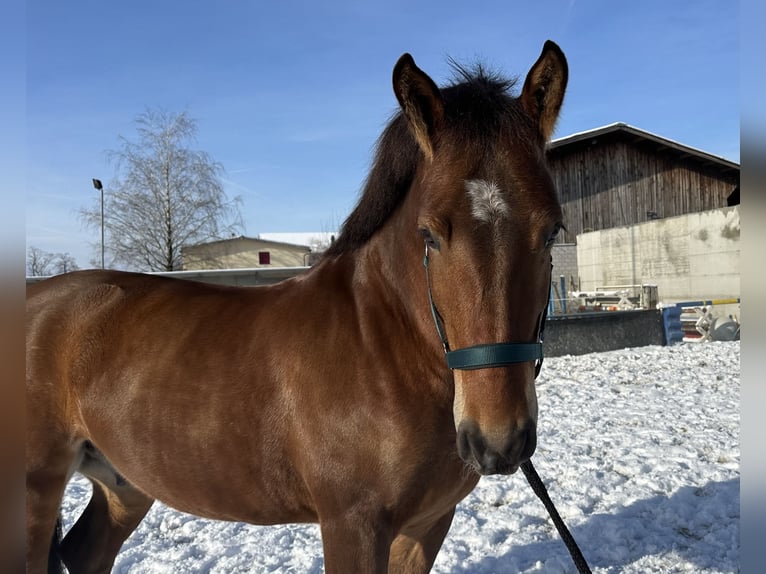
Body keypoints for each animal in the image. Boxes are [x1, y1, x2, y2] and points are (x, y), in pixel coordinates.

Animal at [27, 41, 568, 574]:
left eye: (552, 232)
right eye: (429, 234)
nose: (498, 442)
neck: (385, 349)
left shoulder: (428, 524)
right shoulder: (353, 526)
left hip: (125, 483)